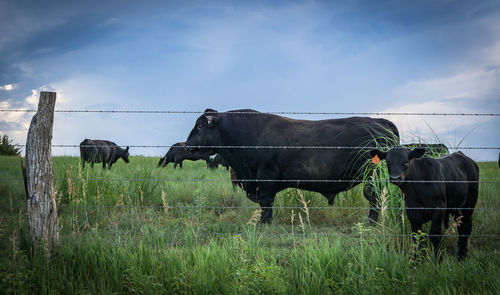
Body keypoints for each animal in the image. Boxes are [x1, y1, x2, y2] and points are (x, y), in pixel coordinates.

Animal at [186, 110, 400, 223]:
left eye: (200, 126)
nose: (187, 144)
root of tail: (381, 121)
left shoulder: (265, 177)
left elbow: (266, 202)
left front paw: (264, 223)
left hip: (371, 175)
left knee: (373, 197)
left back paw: (370, 223)